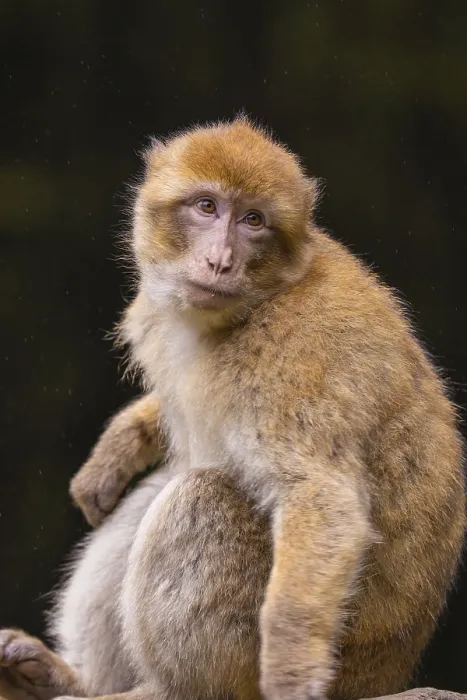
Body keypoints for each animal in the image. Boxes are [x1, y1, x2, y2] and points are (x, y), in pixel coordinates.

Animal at [0, 116, 465, 700]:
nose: (220, 261)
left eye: (253, 221)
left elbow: (322, 498)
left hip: (254, 659)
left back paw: (171, 689)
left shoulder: (295, 361)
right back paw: (68, 680)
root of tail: (386, 675)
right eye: (207, 207)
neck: (257, 303)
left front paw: (290, 664)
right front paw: (120, 445)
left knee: (201, 494)